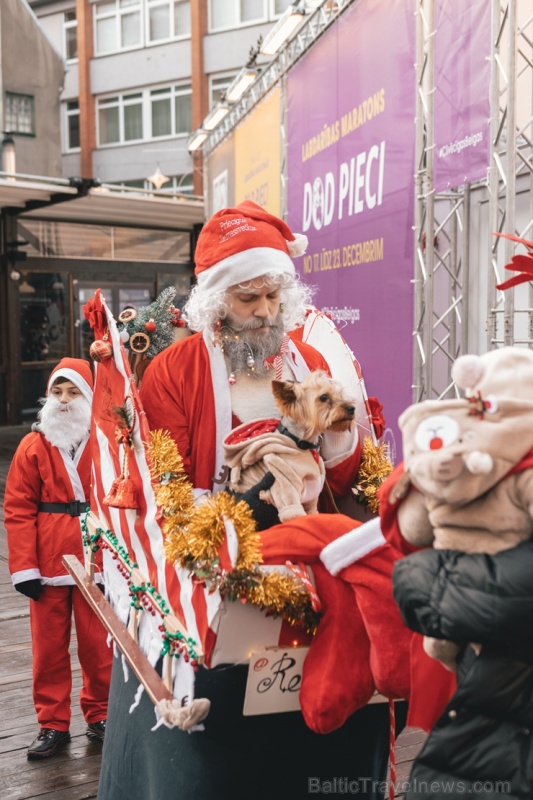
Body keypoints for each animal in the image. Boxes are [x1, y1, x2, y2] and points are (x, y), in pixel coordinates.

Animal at [222, 370, 356, 524]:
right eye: (323, 397)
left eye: (340, 394)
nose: (352, 408)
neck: (300, 444)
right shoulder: (284, 486)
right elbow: (295, 514)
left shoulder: (311, 496)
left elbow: (312, 513)